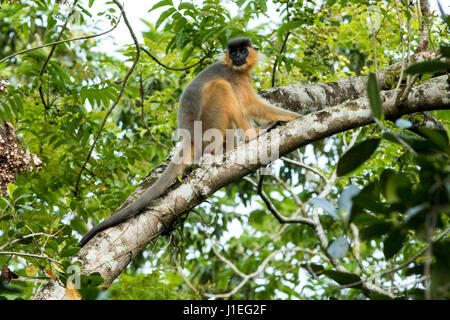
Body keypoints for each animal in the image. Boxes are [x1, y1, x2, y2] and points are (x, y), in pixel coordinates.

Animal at [79, 38, 300, 248]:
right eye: (233, 52)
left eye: (242, 51)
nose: (237, 57)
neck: (235, 68)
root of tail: (190, 138)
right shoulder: (235, 77)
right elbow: (251, 105)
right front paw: (295, 117)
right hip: (209, 126)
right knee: (223, 87)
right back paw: (251, 136)